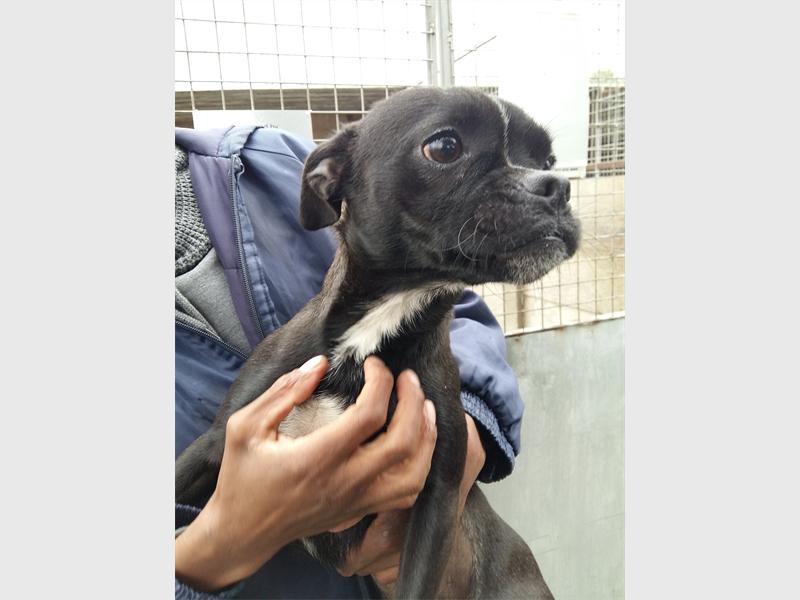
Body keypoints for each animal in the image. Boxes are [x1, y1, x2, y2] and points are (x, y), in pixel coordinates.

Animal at [176, 86, 579, 599]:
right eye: (444, 147)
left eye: (548, 159)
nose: (557, 185)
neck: (372, 333)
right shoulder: (217, 441)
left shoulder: (438, 493)